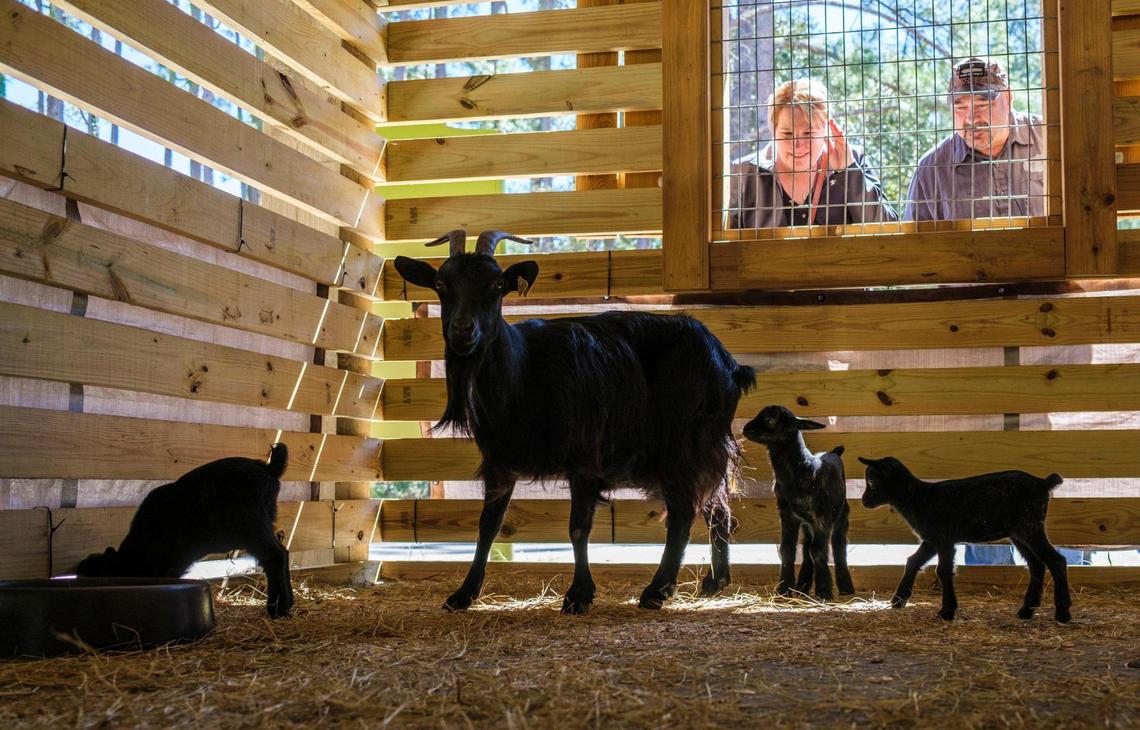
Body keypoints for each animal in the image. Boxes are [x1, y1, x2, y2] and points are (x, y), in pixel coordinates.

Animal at [77, 444, 293, 618]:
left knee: (275, 556)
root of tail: (268, 468)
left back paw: (278, 608)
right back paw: (288, 602)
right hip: (263, 523)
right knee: (283, 551)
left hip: (251, 526)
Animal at [394, 230, 756, 613]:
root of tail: (730, 364)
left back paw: (657, 590)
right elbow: (487, 525)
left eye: (497, 284)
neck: (522, 373)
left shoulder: (584, 458)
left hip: (684, 445)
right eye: (440, 283)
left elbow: (578, 527)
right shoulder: (499, 463)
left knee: (684, 513)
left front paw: (579, 594)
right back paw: (715, 581)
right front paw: (464, 593)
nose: (463, 330)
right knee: (718, 508)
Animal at [742, 405, 854, 600]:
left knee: (838, 545)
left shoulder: (821, 517)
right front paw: (783, 589)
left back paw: (845, 587)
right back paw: (802, 587)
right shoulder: (787, 514)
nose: (745, 429)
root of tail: (833, 452)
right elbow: (787, 550)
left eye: (770, 419)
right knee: (808, 547)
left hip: (841, 514)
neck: (801, 469)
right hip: (807, 524)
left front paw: (824, 591)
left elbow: (819, 551)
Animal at [858, 455, 1070, 622]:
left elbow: (943, 571)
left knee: (1056, 560)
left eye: (871, 481)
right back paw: (1027, 610)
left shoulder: (944, 539)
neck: (918, 498)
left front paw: (947, 611)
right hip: (1019, 533)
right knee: (1037, 564)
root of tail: (1043, 483)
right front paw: (899, 600)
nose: (864, 501)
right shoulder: (932, 539)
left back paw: (1063, 612)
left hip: (1031, 525)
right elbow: (913, 561)